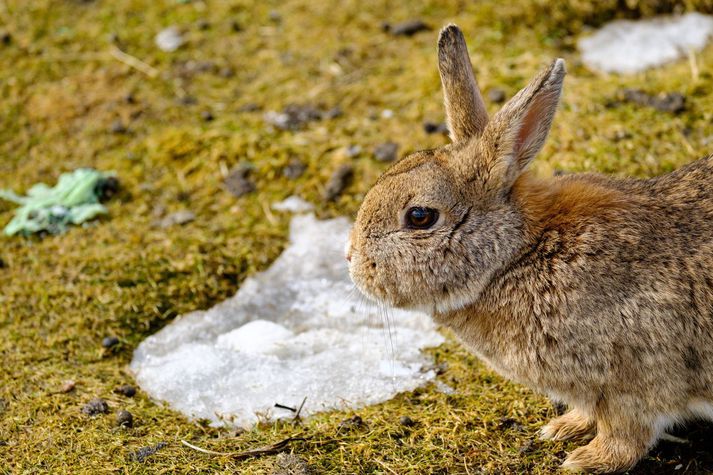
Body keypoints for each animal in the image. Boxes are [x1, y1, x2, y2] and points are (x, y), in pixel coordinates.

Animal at [346, 24, 712, 474]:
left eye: (419, 216)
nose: (351, 261)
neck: (516, 256)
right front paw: (563, 429)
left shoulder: (634, 384)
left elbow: (626, 436)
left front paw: (584, 460)